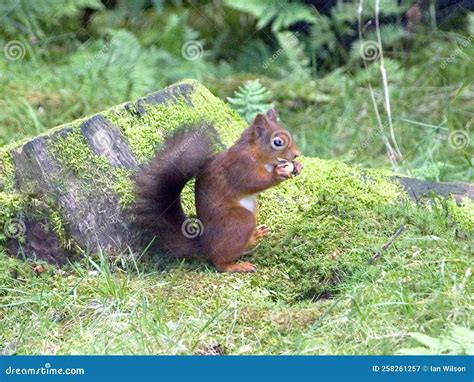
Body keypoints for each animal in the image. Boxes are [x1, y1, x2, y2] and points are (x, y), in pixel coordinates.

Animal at [135, 109, 302, 274]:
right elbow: (254, 182)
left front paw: (298, 166)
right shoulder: (240, 167)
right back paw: (236, 266)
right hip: (239, 221)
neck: (254, 152)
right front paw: (278, 173)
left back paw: (255, 236)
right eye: (278, 142)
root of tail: (206, 246)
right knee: (220, 263)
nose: (297, 154)